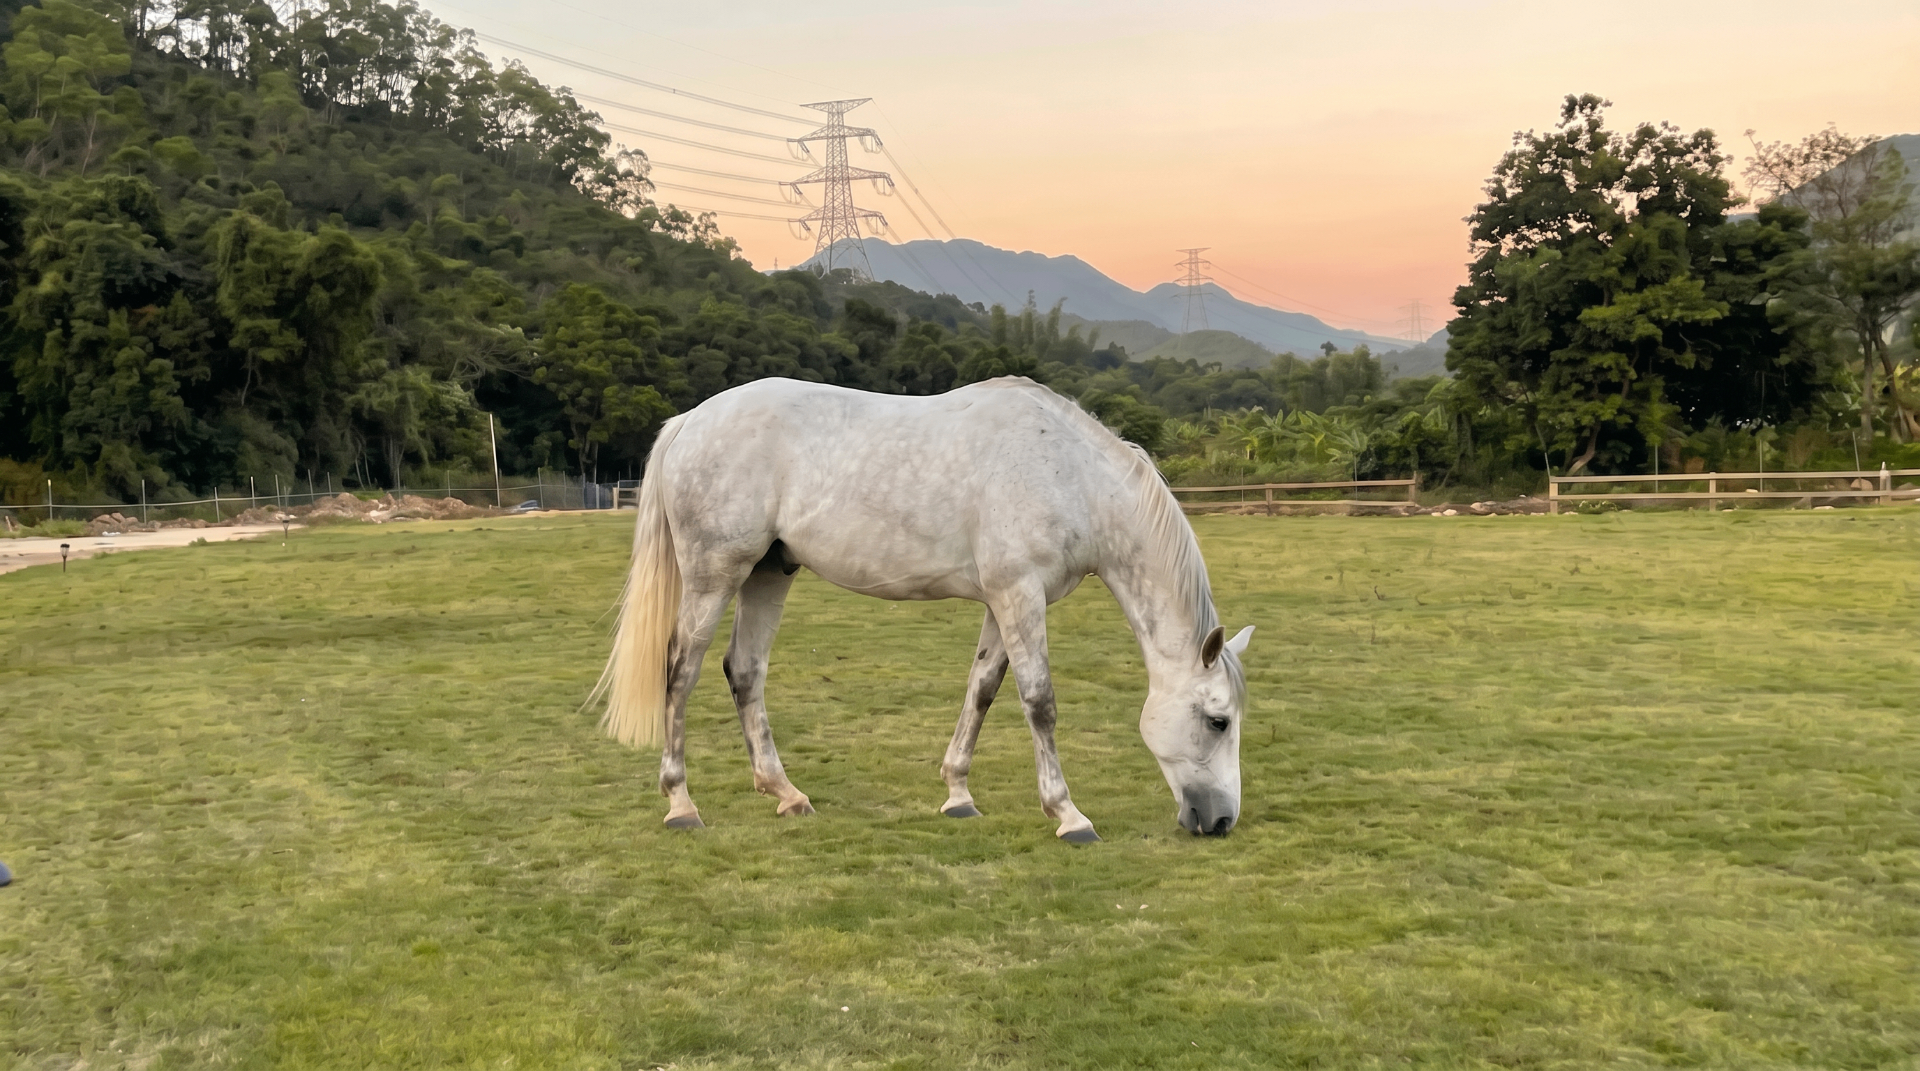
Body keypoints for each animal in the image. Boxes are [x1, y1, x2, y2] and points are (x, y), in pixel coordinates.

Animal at [596, 376, 1254, 843]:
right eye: (1218, 721)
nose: (1221, 820)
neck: (1073, 477)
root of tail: (689, 421)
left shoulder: (1004, 601)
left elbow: (982, 689)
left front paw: (958, 794)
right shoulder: (1020, 596)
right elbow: (1039, 702)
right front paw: (1069, 815)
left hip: (767, 573)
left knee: (744, 671)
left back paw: (786, 794)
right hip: (714, 575)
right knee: (681, 672)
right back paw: (682, 804)